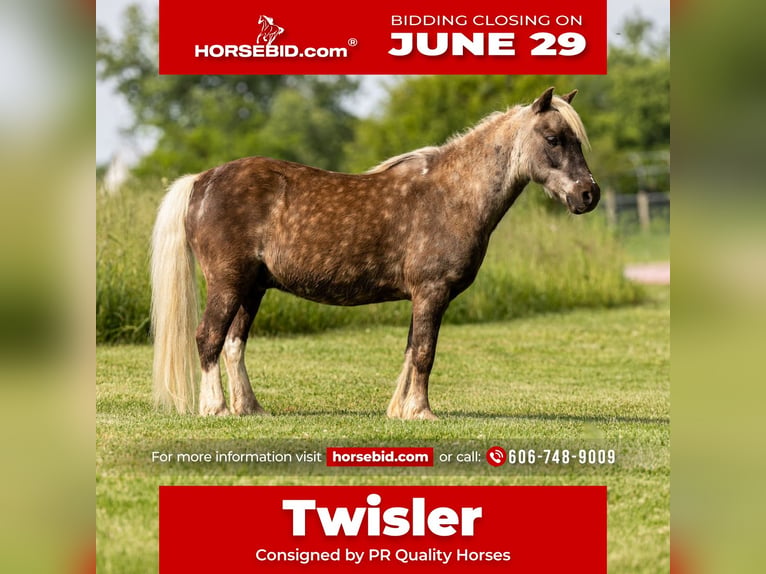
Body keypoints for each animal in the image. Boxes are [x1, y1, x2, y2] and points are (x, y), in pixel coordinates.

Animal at [150, 87, 600, 420]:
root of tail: (203, 180)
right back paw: (216, 408)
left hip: (253, 287)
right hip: (227, 283)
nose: (588, 194)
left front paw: (400, 410)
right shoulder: (431, 293)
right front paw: (421, 412)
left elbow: (411, 351)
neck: (452, 195)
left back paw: (250, 408)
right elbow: (425, 353)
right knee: (208, 337)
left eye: (577, 140)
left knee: (233, 344)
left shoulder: (421, 297)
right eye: (553, 139)